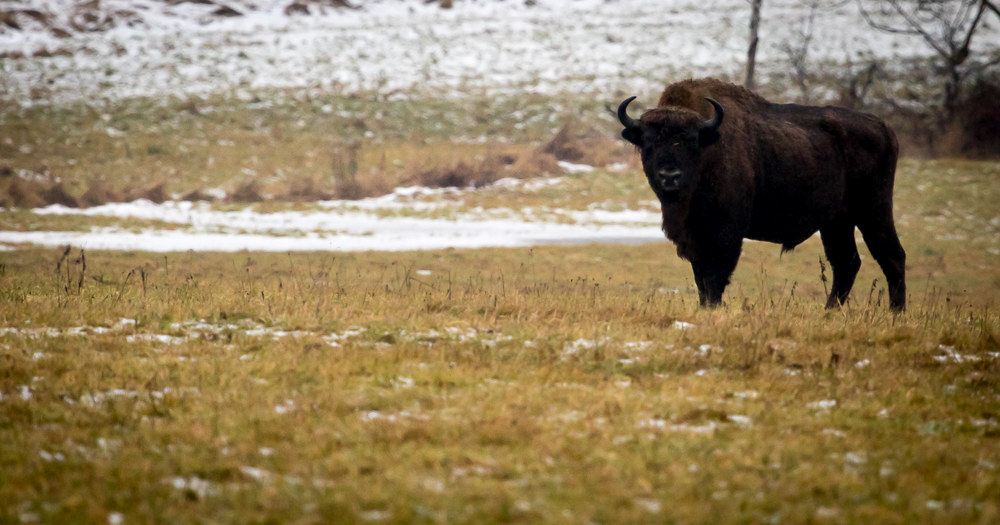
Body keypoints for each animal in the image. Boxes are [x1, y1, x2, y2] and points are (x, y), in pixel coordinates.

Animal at [617, 78, 906, 310]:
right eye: (649, 142)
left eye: (689, 142)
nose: (670, 176)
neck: (709, 148)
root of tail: (885, 128)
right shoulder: (694, 238)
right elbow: (702, 278)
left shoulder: (726, 234)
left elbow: (715, 277)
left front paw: (713, 308)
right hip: (837, 222)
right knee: (847, 262)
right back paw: (830, 311)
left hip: (873, 212)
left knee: (891, 256)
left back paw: (895, 313)